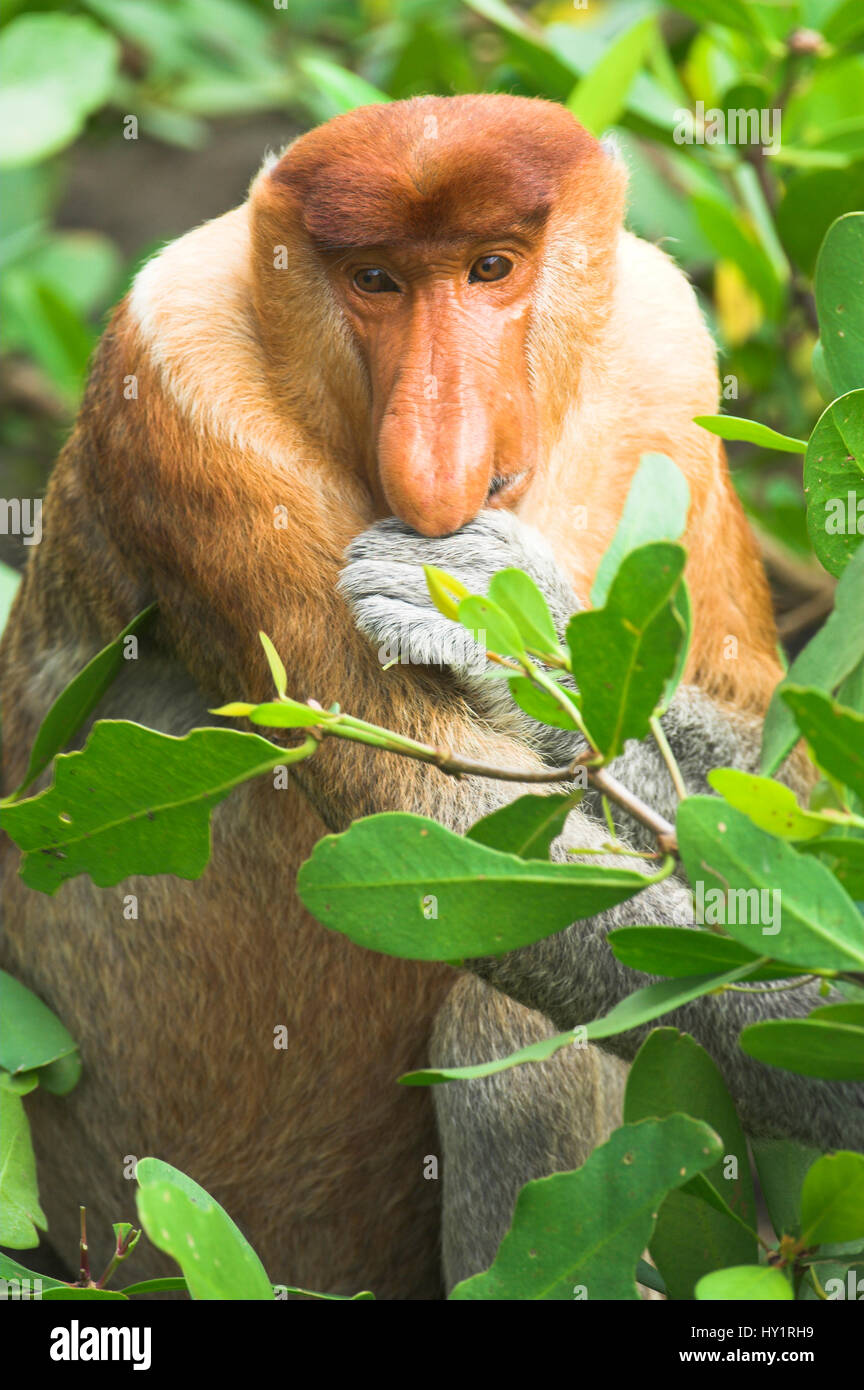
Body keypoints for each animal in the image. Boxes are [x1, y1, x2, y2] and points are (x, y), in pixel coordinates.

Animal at [0, 95, 852, 1301]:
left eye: (492, 267)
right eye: (375, 281)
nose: (434, 455)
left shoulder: (666, 354)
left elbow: (787, 772)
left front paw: (513, 621)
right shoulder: (188, 398)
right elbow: (441, 825)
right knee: (512, 1010)